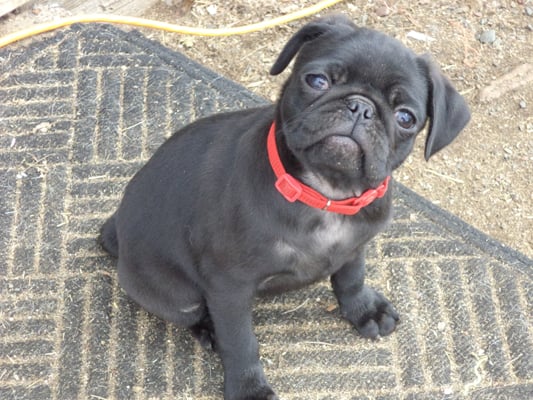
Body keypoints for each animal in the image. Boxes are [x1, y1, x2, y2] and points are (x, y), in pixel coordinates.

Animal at [100, 14, 470, 400]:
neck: (325, 192)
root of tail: (116, 230)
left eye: (406, 118)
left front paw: (364, 309)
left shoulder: (355, 247)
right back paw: (209, 329)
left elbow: (351, 278)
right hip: (177, 294)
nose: (361, 107)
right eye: (317, 81)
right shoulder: (229, 287)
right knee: (194, 314)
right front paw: (249, 388)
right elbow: (241, 341)